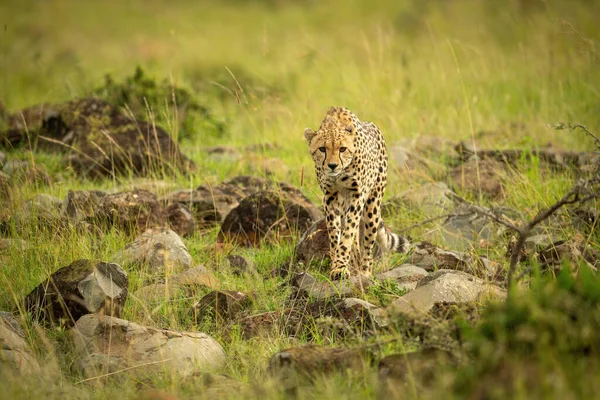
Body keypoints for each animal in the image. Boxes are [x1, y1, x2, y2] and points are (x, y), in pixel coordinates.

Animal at [304, 106, 408, 278]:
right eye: (322, 149)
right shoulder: (330, 197)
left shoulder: (357, 195)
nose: (332, 165)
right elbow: (335, 235)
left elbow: (348, 235)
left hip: (372, 204)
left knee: (367, 244)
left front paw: (340, 266)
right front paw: (337, 265)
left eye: (342, 149)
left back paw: (365, 272)